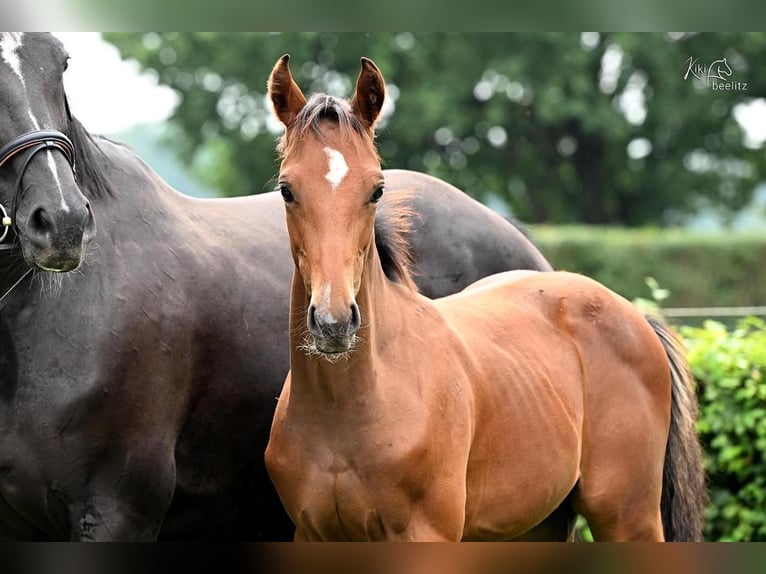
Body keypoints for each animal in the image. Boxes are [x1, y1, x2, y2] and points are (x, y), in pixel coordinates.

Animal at [264, 54, 707, 541]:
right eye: (286, 189)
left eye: (377, 189)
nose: (334, 322)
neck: (351, 405)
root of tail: (636, 317)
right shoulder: (311, 533)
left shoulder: (427, 533)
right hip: (540, 523)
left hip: (630, 518)